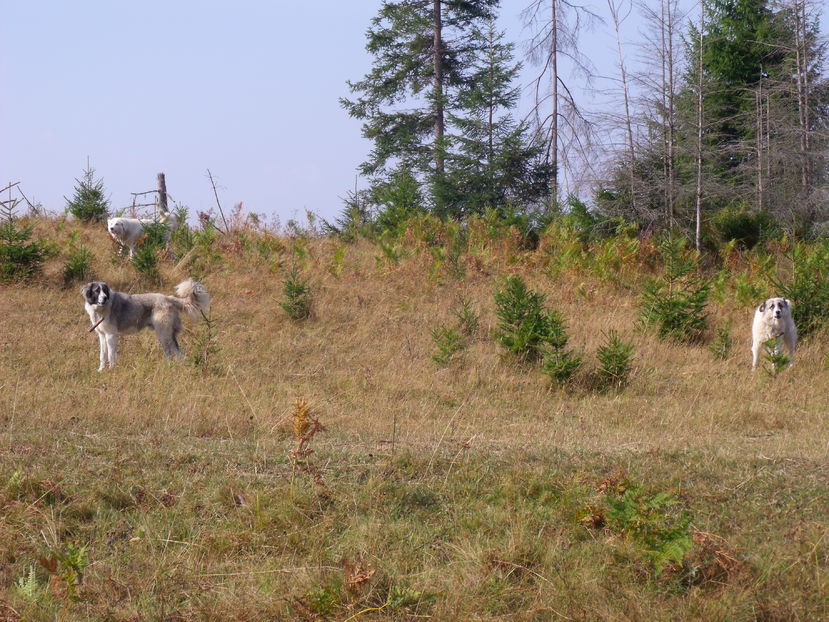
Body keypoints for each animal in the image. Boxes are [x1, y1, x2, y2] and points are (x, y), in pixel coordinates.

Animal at [81, 280, 210, 370]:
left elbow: (111, 355)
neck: (100, 309)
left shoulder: (111, 335)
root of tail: (168, 298)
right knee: (173, 353)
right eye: (97, 290)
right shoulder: (102, 336)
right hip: (166, 335)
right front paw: (101, 370)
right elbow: (103, 355)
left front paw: (112, 370)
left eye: (104, 291)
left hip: (164, 334)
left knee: (175, 353)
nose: (105, 298)